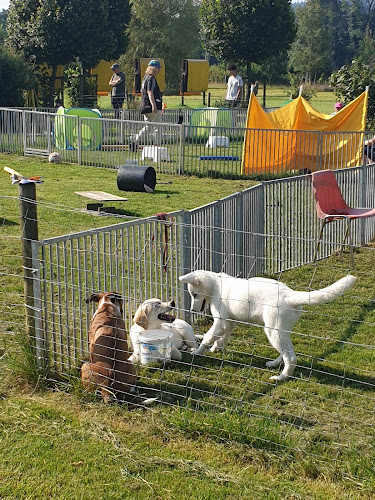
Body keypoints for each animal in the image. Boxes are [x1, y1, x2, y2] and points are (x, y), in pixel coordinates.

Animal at [178, 272, 356, 380]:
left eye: (194, 294)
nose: (192, 310)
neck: (216, 285)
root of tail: (290, 294)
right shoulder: (228, 322)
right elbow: (222, 337)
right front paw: (216, 348)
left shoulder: (220, 321)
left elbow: (209, 336)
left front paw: (198, 352)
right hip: (281, 331)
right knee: (286, 353)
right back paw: (274, 365)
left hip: (273, 331)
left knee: (291, 357)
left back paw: (281, 378)